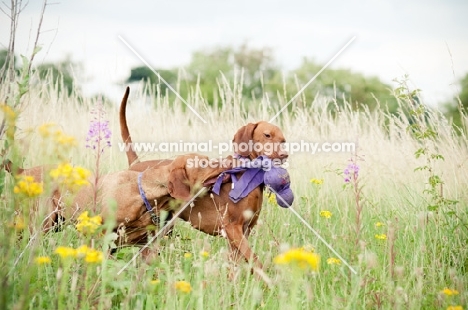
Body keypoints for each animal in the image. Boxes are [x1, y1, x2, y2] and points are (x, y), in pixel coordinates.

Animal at [119, 86, 288, 268]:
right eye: (267, 135)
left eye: (283, 140)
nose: (284, 155)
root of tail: (135, 164)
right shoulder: (233, 228)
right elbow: (255, 261)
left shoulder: (243, 231)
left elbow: (235, 265)